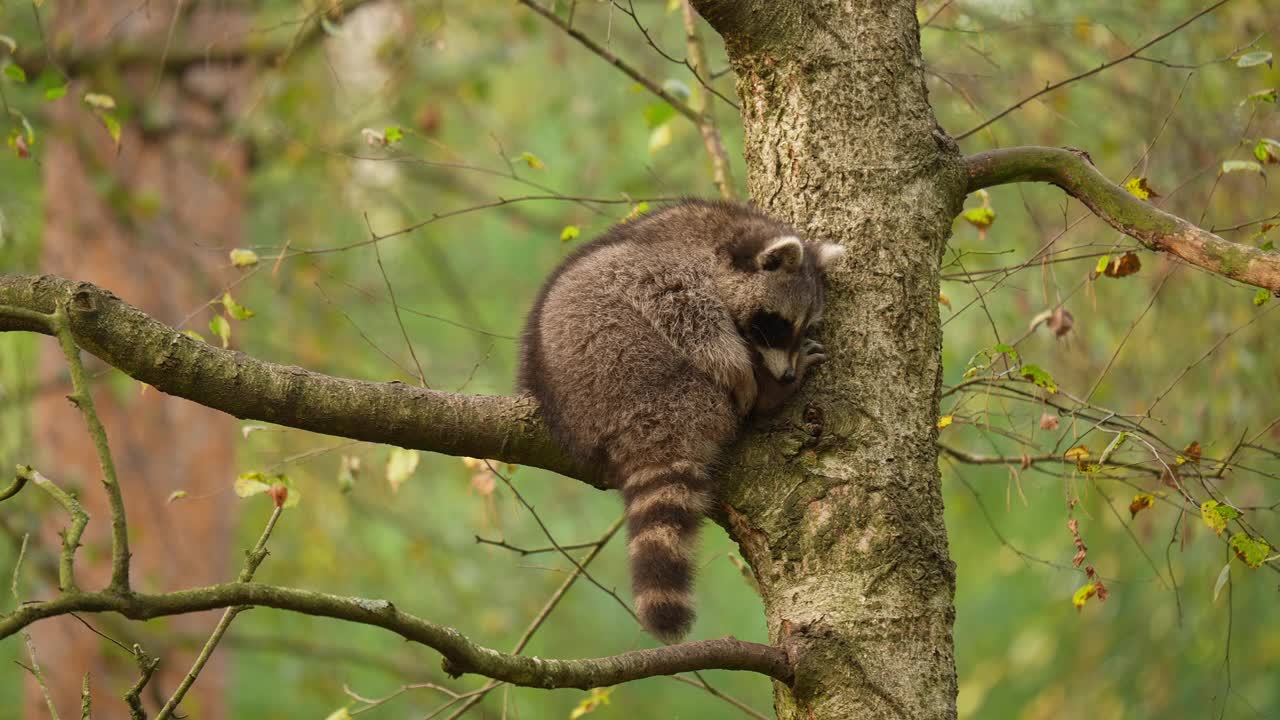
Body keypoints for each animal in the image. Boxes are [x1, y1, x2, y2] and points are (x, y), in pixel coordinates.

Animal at [514, 197, 844, 638]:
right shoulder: (669, 274)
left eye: (803, 326)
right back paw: (765, 398)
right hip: (632, 365)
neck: (728, 235)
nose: (786, 375)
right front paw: (742, 372)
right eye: (777, 325)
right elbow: (691, 320)